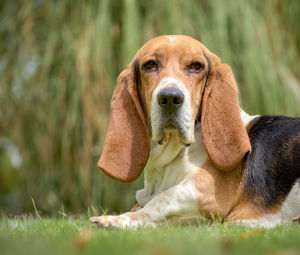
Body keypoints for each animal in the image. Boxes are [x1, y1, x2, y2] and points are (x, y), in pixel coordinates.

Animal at [89, 34, 300, 228]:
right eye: (150, 65)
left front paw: (116, 219)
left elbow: (162, 199)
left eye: (196, 66)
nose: (170, 98)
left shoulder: (204, 193)